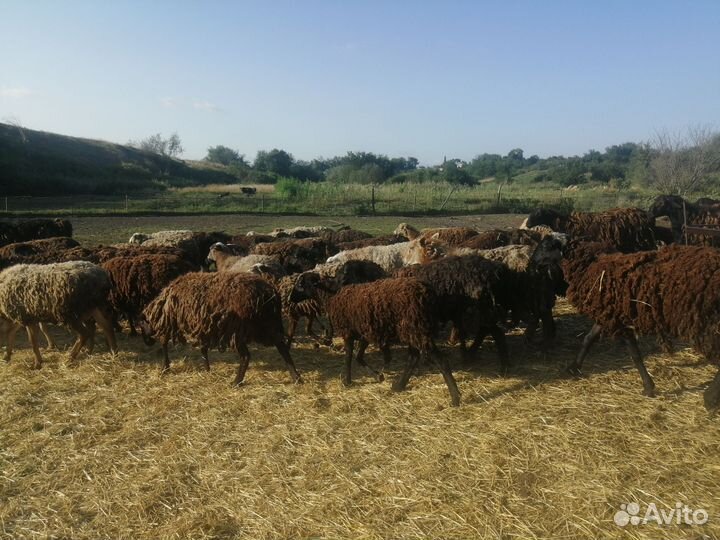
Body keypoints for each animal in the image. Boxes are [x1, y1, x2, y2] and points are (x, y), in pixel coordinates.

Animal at [141, 272, 302, 385]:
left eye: (141, 326)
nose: (147, 342)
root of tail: (270, 293)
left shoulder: (171, 323)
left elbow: (164, 343)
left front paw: (165, 368)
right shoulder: (201, 326)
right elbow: (203, 349)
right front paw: (207, 369)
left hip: (238, 330)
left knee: (246, 356)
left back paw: (236, 382)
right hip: (269, 325)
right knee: (283, 348)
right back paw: (296, 378)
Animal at [291, 272, 461, 406]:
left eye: (300, 284)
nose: (290, 298)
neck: (331, 296)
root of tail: (428, 292)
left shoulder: (348, 332)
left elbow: (348, 357)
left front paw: (347, 381)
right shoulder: (364, 332)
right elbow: (358, 357)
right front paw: (378, 375)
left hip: (417, 329)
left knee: (440, 360)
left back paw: (455, 398)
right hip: (413, 330)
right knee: (413, 357)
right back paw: (399, 386)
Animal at [562, 241, 720, 409]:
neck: (594, 265)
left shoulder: (621, 319)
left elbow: (635, 354)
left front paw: (648, 387)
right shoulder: (610, 315)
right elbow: (589, 338)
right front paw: (573, 367)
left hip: (705, 321)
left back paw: (709, 399)